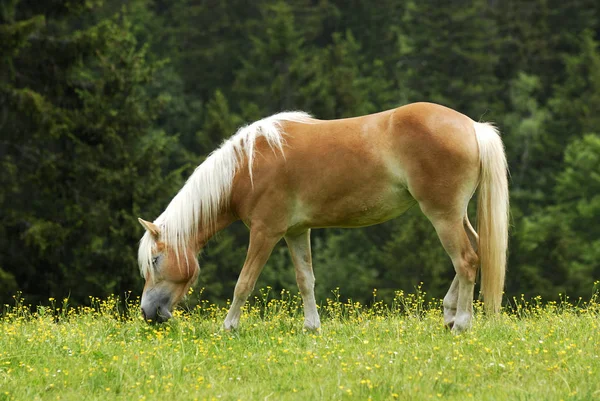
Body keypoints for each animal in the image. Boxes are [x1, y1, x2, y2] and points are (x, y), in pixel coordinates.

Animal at [138, 102, 508, 332]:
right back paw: (449, 315)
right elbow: (306, 279)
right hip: (455, 214)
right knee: (476, 251)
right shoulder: (296, 231)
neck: (248, 165)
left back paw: (461, 323)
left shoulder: (265, 232)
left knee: (466, 260)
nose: (148, 313)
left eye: (155, 260)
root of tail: (472, 127)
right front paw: (311, 327)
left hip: (442, 214)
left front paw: (229, 327)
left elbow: (244, 282)